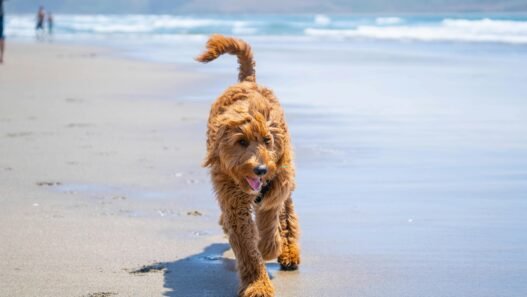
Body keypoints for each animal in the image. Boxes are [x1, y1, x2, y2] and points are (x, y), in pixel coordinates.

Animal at [196, 33, 302, 294]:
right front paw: (258, 285)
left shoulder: (277, 183)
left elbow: (271, 217)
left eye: (267, 140)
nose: (261, 169)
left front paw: (269, 247)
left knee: (287, 214)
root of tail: (248, 81)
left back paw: (288, 252)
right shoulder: (234, 201)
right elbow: (246, 247)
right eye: (241, 142)